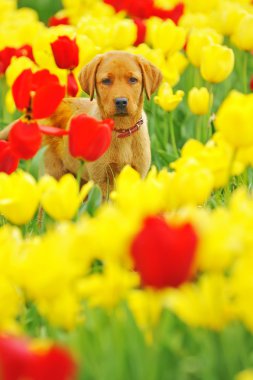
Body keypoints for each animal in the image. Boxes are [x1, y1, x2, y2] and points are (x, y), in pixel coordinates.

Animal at [1, 51, 162, 194]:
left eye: (133, 80)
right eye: (106, 81)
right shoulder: (101, 180)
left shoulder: (138, 174)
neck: (122, 130)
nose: (121, 101)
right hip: (51, 171)